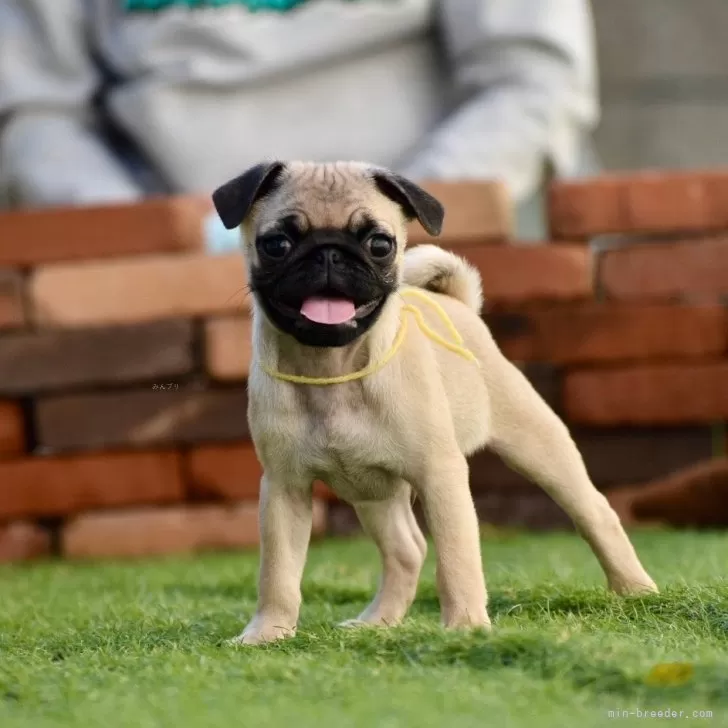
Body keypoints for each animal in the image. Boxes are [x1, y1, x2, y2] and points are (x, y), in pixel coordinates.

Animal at [212, 162, 660, 644]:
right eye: (276, 244)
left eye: (380, 244)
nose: (329, 253)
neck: (331, 367)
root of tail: (456, 303)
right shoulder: (284, 488)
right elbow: (277, 572)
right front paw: (267, 633)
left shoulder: (440, 477)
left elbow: (457, 559)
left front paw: (465, 625)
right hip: (373, 492)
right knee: (406, 550)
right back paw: (378, 621)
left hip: (538, 445)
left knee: (594, 512)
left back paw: (636, 590)